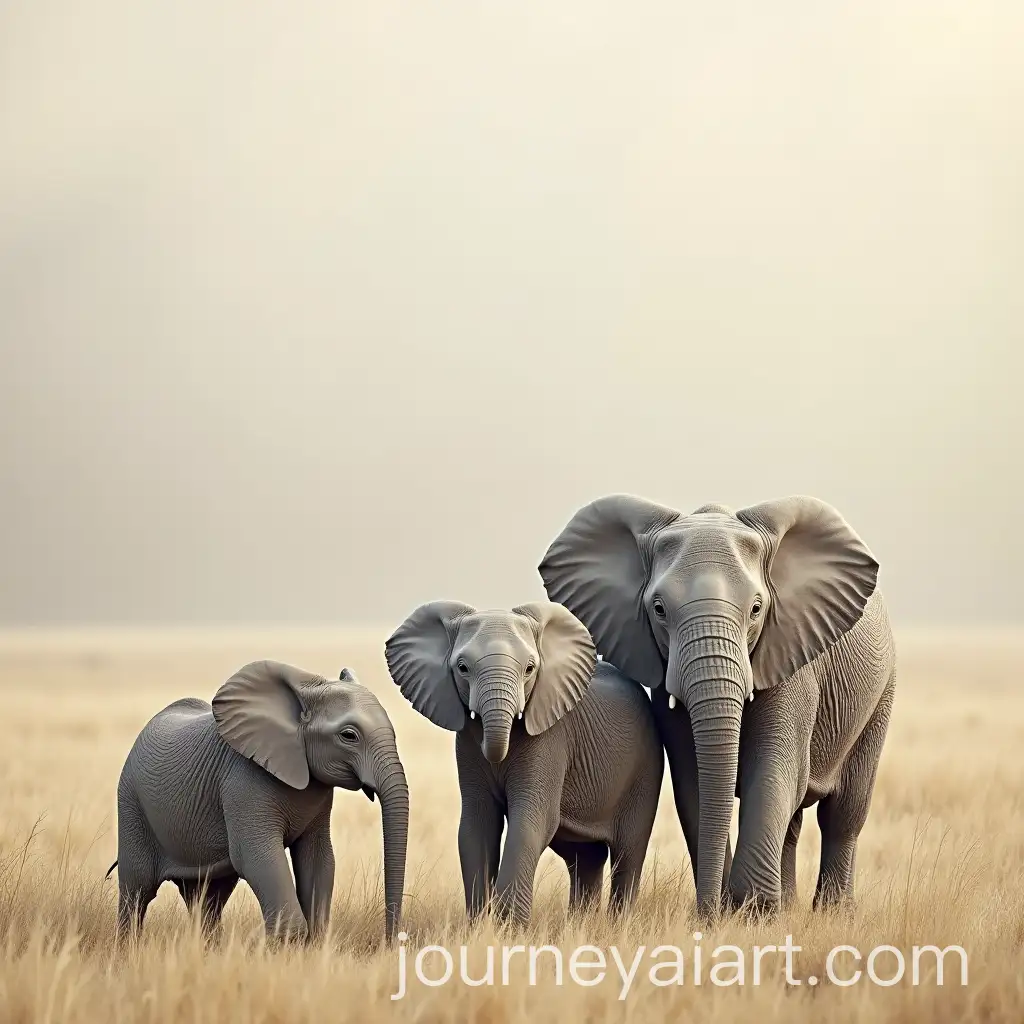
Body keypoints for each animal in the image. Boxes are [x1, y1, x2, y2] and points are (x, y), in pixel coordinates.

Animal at [108, 661, 409, 942]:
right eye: (349, 736)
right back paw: (128, 949)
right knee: (137, 890)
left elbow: (318, 858)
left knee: (207, 896)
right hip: (131, 802)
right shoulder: (243, 781)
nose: (390, 942)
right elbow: (258, 858)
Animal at [384, 599, 664, 926]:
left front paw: (508, 930)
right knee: (585, 856)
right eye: (462, 668)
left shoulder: (551, 738)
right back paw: (579, 926)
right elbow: (477, 825)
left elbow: (531, 821)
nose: (493, 750)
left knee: (628, 851)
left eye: (530, 669)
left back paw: (616, 925)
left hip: (645, 768)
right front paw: (479, 928)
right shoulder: (466, 742)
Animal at [539, 494, 896, 920]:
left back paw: (831, 914)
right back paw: (789, 907)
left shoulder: (789, 657)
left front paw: (752, 913)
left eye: (757, 609)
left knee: (843, 813)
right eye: (658, 609)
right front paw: (731, 914)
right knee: (794, 821)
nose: (704, 912)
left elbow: (772, 770)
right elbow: (693, 781)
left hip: (881, 694)